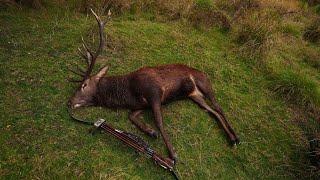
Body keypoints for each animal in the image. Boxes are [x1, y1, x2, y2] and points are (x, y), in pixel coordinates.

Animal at [69, 9, 240, 162]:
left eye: (84, 85)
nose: (69, 102)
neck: (128, 92)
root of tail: (204, 74)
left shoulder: (154, 92)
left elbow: (159, 121)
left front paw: (173, 154)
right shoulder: (142, 104)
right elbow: (131, 116)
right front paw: (150, 132)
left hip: (204, 83)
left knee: (219, 107)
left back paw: (236, 137)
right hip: (195, 96)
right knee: (212, 112)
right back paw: (231, 139)